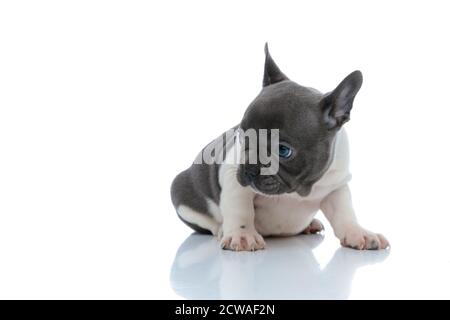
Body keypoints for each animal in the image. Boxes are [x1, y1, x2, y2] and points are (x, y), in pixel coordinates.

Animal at [171, 43, 388, 252]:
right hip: (181, 192)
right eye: (241, 135)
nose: (249, 168)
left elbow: (345, 213)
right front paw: (243, 235)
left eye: (283, 150)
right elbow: (240, 208)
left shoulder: (336, 186)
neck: (299, 190)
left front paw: (359, 233)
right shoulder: (232, 178)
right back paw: (222, 229)